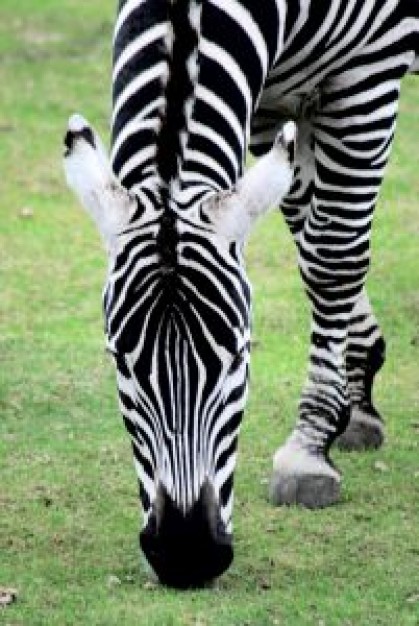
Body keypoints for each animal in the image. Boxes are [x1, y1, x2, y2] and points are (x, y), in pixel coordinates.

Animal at [62, 0, 419, 584]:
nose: (186, 556)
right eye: (119, 362)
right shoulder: (273, 96)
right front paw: (355, 393)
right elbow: (308, 233)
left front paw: (309, 448)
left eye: (238, 357)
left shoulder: (370, 69)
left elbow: (332, 254)